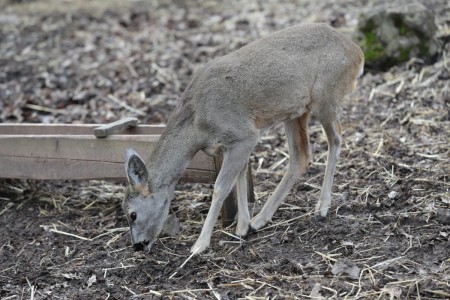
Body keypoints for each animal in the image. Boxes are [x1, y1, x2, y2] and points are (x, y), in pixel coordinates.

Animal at [121, 22, 364, 253]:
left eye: (132, 214)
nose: (137, 246)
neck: (198, 125)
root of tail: (357, 52)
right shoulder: (234, 142)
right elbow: (240, 178)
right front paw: (242, 227)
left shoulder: (243, 133)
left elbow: (221, 187)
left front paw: (200, 245)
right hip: (295, 111)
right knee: (301, 155)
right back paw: (261, 219)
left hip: (326, 95)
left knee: (336, 138)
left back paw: (322, 207)